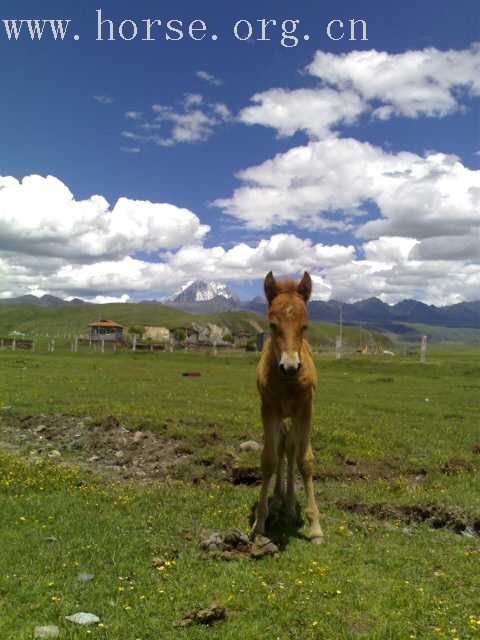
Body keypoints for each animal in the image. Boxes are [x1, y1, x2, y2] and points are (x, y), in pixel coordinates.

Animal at [253, 270, 324, 544]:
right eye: (273, 325)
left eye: (305, 326)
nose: (291, 367)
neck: (287, 381)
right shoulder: (269, 409)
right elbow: (269, 460)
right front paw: (260, 523)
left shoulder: (306, 409)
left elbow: (305, 460)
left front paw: (315, 527)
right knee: (283, 446)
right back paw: (279, 501)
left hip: (293, 415)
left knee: (291, 447)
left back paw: (291, 506)